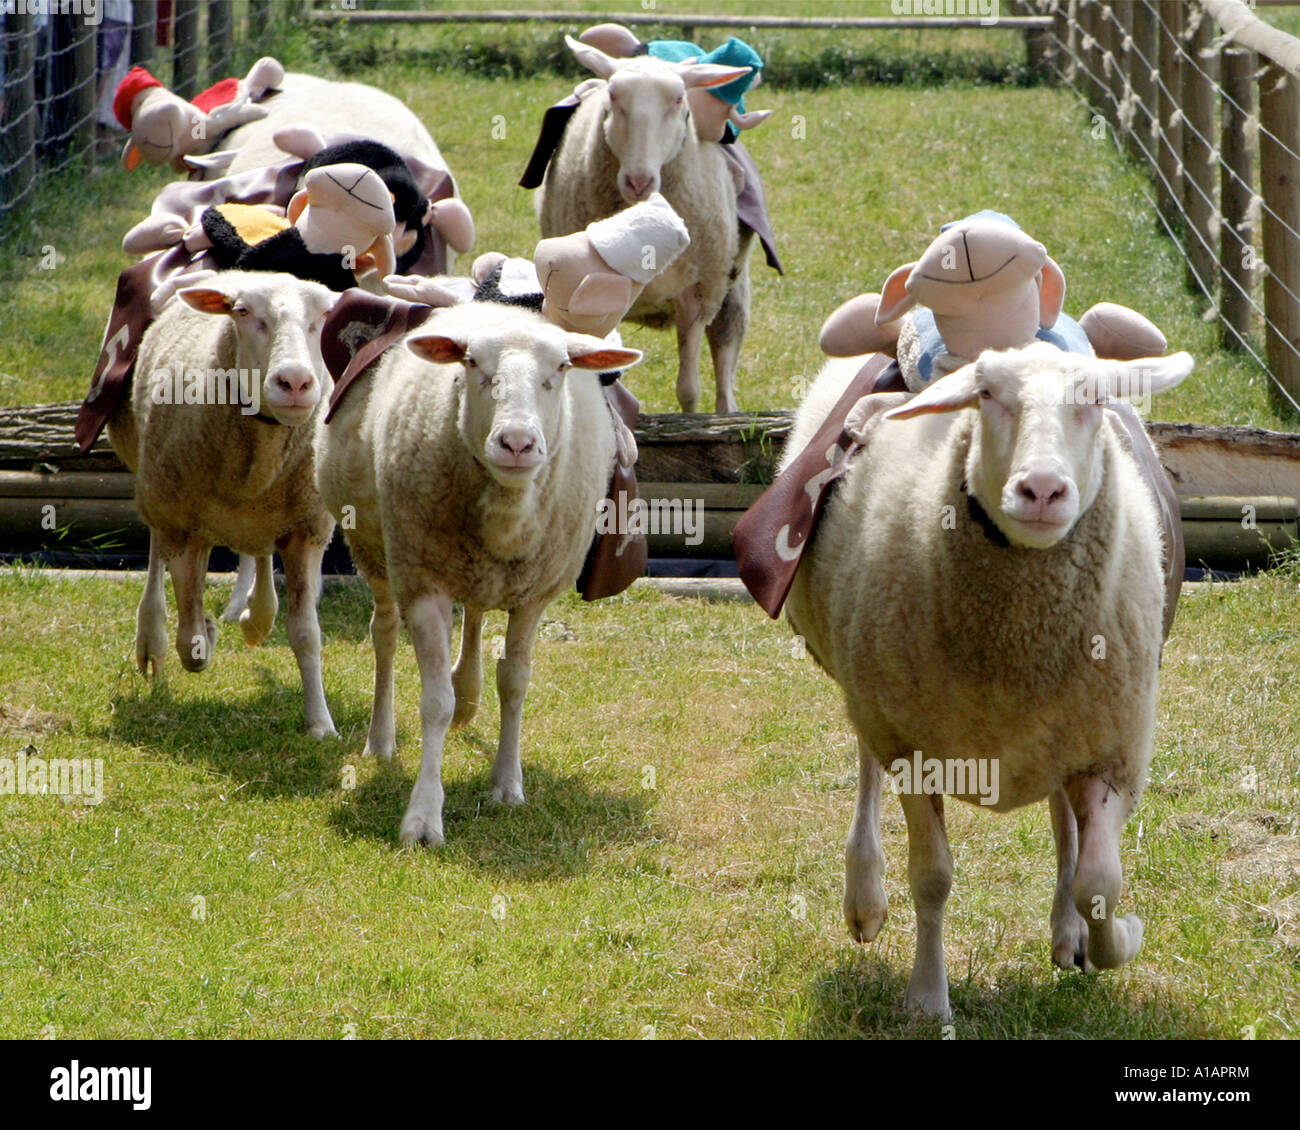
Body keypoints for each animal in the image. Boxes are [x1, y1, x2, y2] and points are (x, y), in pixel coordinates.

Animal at [107, 269, 340, 738]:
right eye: (243, 312)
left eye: (323, 315)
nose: (295, 382)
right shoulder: (185, 526)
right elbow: (191, 640)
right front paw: (205, 634)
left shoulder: (305, 529)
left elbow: (306, 634)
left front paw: (320, 723)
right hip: (159, 491)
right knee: (157, 558)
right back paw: (152, 639)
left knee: (260, 552)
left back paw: (257, 616)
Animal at [314, 295, 639, 842]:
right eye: (471, 364)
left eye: (561, 368)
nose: (517, 443)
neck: (507, 512)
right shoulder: (423, 582)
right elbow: (435, 701)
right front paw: (423, 817)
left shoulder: (534, 594)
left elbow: (515, 683)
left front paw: (507, 784)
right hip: (376, 549)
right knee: (384, 633)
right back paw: (381, 740)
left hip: (479, 570)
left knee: (476, 615)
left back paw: (469, 692)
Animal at [538, 38, 759, 418]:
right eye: (613, 96)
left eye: (679, 100)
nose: (638, 181)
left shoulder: (696, 296)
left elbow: (689, 389)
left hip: (729, 288)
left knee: (725, 353)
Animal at [780, 340, 1196, 1019]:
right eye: (986, 396)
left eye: (1096, 401)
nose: (1043, 490)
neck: (1020, 649)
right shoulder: (912, 745)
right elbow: (932, 877)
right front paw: (927, 999)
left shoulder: (1110, 746)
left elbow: (1100, 881)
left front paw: (1116, 937)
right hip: (866, 680)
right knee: (867, 761)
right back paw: (864, 897)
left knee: (1063, 815)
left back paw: (1067, 931)